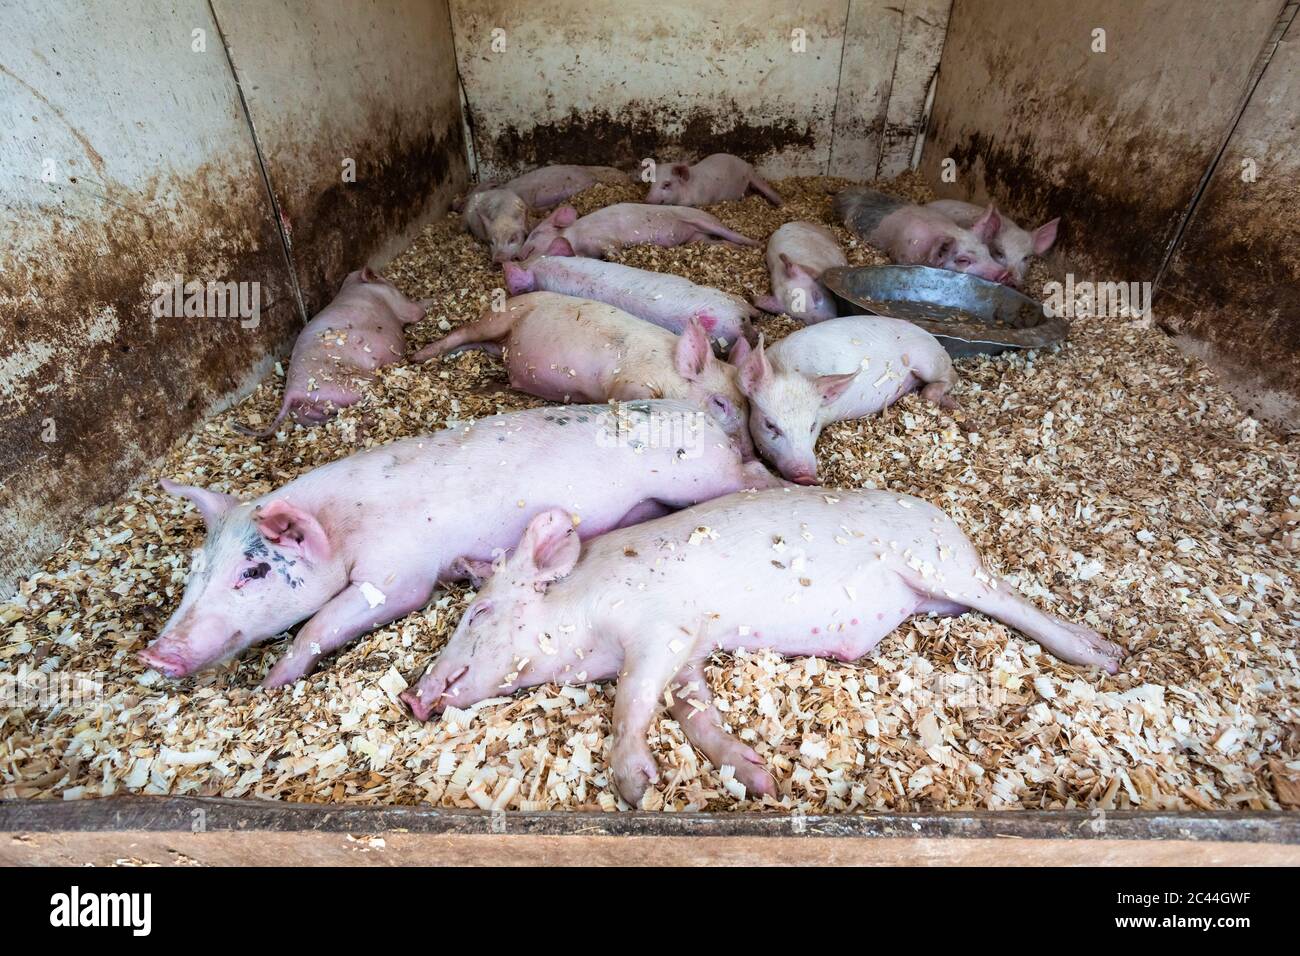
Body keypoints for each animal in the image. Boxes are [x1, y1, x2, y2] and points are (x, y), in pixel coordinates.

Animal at [140, 400, 778, 685]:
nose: (154, 653)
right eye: (195, 571)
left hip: (700, 477)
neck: (344, 526)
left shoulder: (398, 576)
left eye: (253, 572)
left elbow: (323, 622)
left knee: (751, 475)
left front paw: (272, 684)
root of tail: (696, 413)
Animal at [233, 267, 430, 437]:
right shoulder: (399, 303)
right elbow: (415, 311)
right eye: (382, 278)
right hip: (355, 384)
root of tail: (292, 394)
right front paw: (428, 302)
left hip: (312, 414)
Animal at [402, 488, 1124, 804]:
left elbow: (631, 701)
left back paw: (1103, 655)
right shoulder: (689, 654)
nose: (414, 698)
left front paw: (636, 785)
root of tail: (948, 523)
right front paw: (758, 780)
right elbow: (695, 714)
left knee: (1014, 601)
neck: (587, 629)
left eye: (482, 611)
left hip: (942, 567)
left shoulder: (661, 628)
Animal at [413, 292, 754, 456]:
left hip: (499, 345)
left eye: (748, 408)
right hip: (500, 317)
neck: (668, 370)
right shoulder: (629, 381)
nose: (750, 452)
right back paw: (419, 356)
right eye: (720, 404)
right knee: (464, 331)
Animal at [734, 316, 956, 484]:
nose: (807, 477)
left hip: (929, 362)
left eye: (812, 425)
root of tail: (934, 339)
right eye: (770, 425)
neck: (789, 370)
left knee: (951, 377)